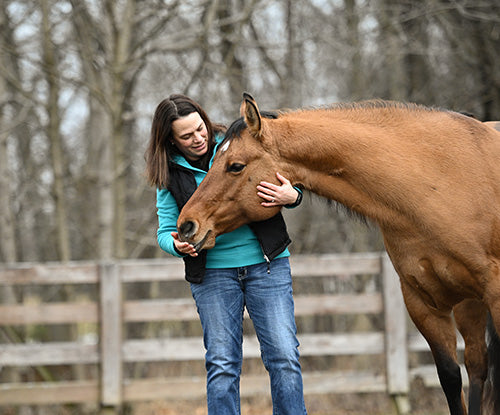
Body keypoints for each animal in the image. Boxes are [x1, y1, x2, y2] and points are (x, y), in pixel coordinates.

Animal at [178, 94, 500, 415]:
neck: (440, 180)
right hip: (467, 304)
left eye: (235, 166)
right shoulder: (422, 303)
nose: (185, 225)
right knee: (477, 366)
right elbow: (450, 378)